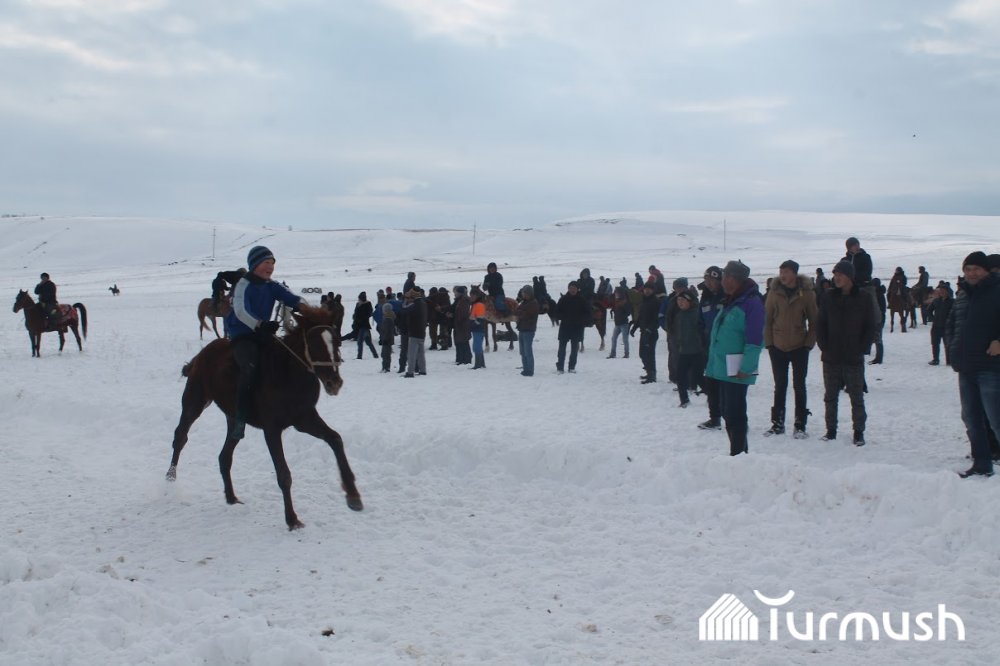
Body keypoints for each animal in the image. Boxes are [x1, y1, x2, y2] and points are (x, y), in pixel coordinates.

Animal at [165, 304, 362, 530]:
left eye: (337, 341)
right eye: (313, 344)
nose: (334, 382)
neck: (289, 375)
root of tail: (202, 354)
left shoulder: (304, 418)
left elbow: (335, 439)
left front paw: (353, 496)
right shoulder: (272, 428)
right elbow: (283, 474)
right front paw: (292, 519)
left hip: (233, 418)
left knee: (225, 455)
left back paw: (231, 497)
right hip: (195, 399)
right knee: (181, 436)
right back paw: (170, 477)